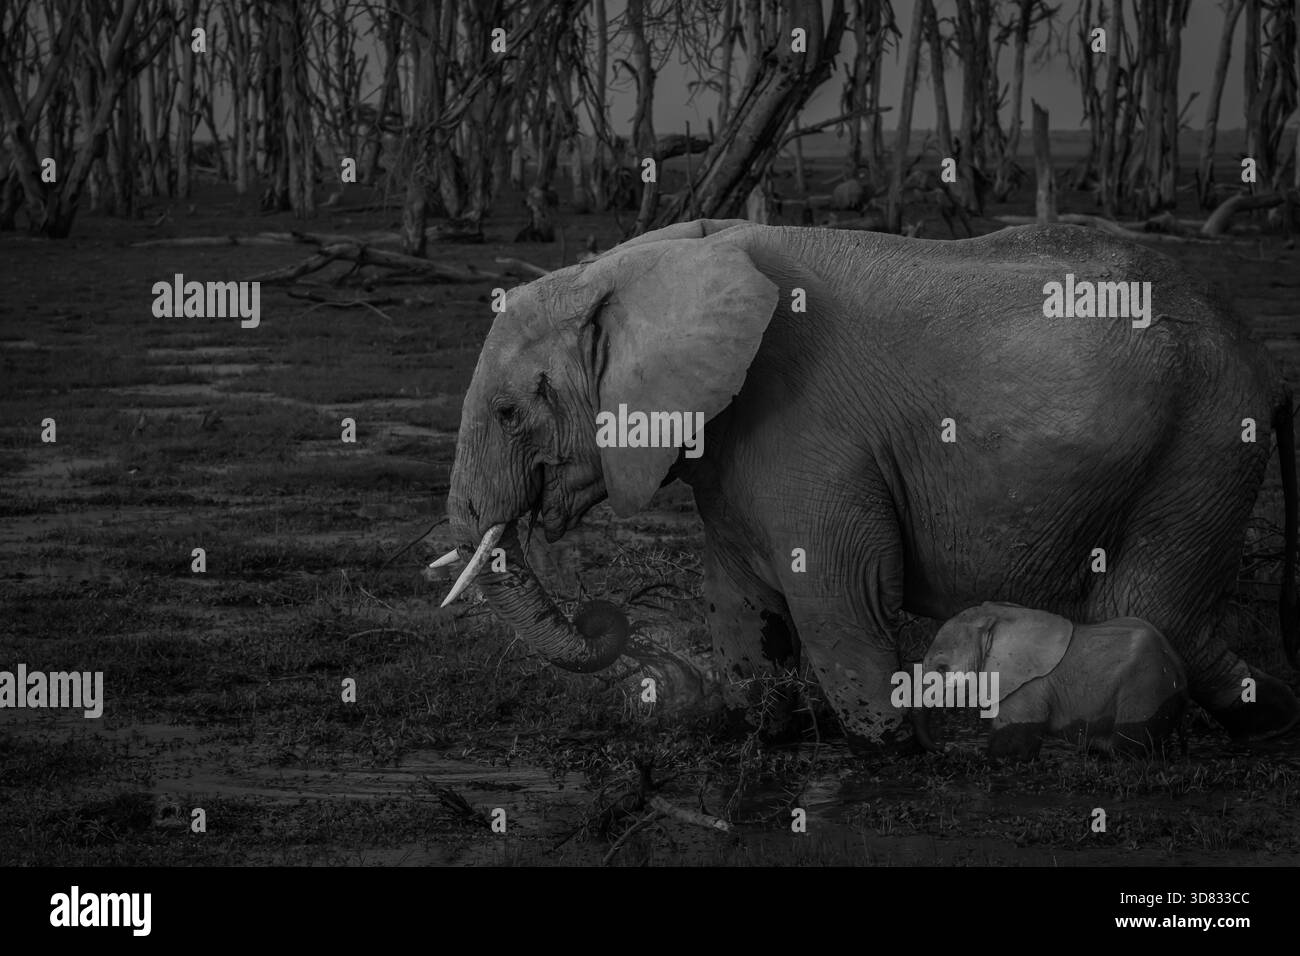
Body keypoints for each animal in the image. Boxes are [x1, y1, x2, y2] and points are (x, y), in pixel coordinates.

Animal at [921, 602, 1188, 760]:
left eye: (942, 669)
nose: (944, 747)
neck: (998, 617)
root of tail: (1178, 664)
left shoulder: (1028, 687)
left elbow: (1012, 747)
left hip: (1146, 685)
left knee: (1131, 746)